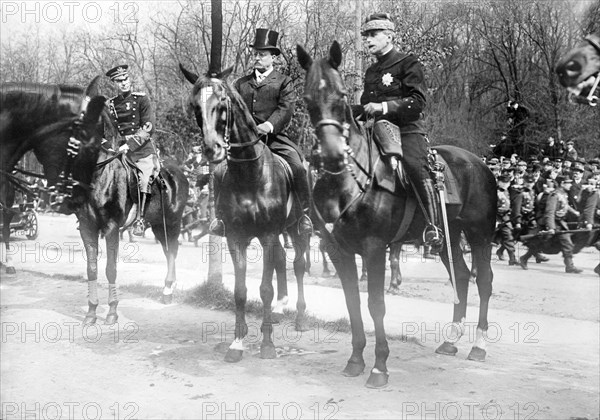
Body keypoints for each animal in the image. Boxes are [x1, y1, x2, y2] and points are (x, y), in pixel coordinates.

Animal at [179, 64, 310, 362]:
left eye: (222, 102)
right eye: (194, 105)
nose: (212, 149)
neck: (251, 173)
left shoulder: (268, 235)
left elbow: (265, 289)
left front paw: (267, 345)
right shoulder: (235, 237)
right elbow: (240, 291)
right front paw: (237, 343)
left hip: (296, 228)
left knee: (297, 265)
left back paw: (298, 317)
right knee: (281, 260)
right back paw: (278, 311)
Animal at [296, 42, 496, 388]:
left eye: (340, 96)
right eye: (308, 100)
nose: (332, 155)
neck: (348, 182)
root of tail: (479, 163)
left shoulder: (375, 248)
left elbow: (376, 305)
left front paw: (379, 367)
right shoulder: (338, 250)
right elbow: (352, 302)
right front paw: (355, 360)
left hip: (479, 234)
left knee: (483, 280)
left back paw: (479, 346)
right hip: (448, 237)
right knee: (461, 275)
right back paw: (451, 340)